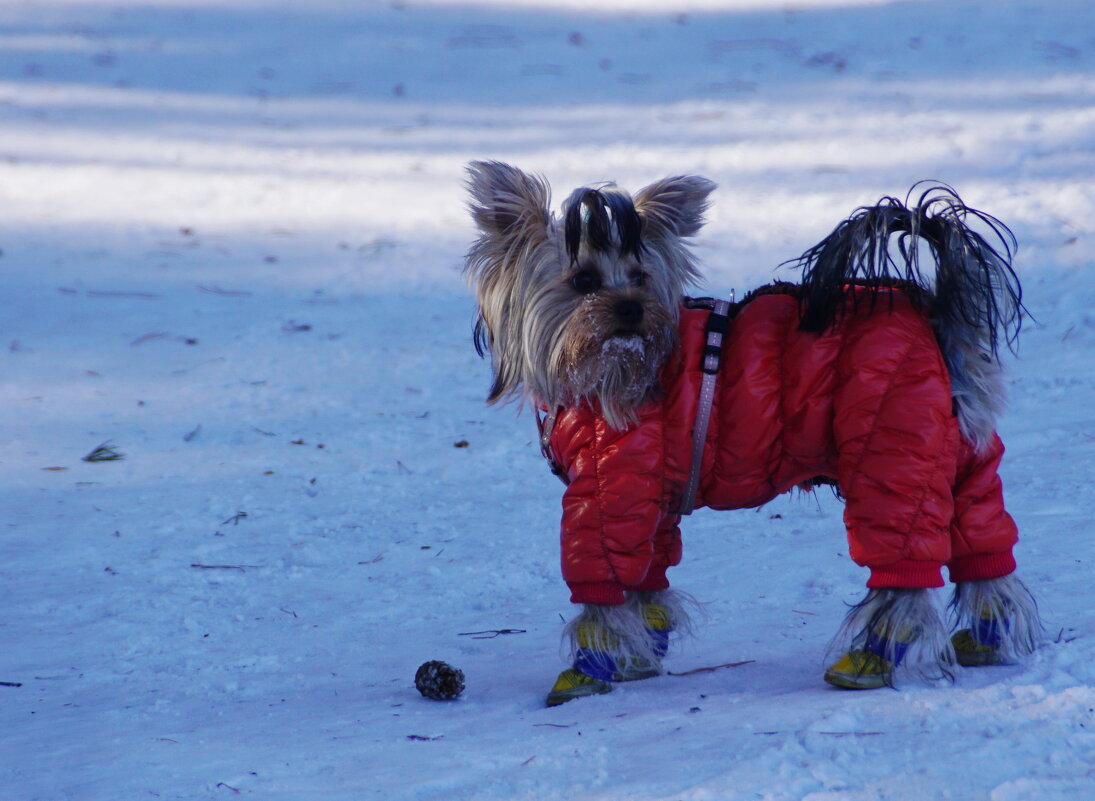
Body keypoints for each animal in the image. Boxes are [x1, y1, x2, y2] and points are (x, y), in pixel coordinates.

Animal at [459, 160, 1033, 700]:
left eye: (640, 277)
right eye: (583, 282)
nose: (632, 308)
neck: (607, 372)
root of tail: (934, 312)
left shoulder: (612, 489)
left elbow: (603, 582)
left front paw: (589, 668)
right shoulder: (655, 499)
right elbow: (650, 582)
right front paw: (639, 654)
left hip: (892, 454)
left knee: (903, 579)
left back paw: (871, 659)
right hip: (957, 456)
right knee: (984, 550)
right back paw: (986, 638)